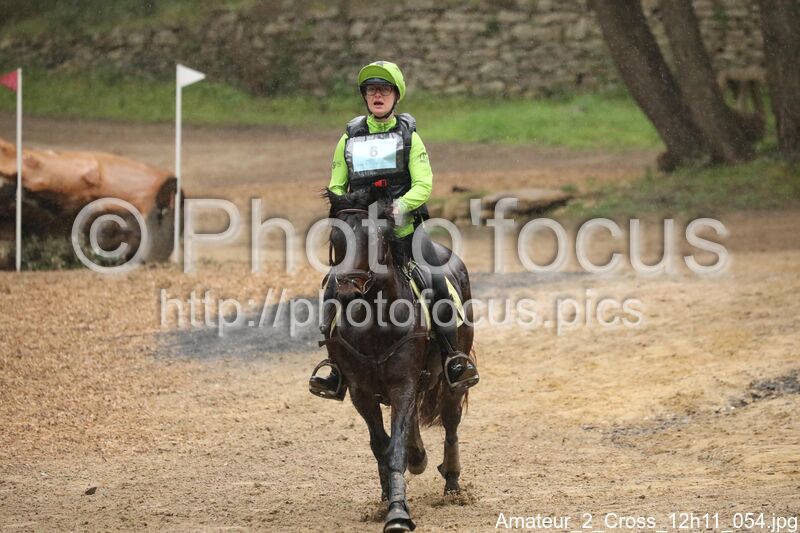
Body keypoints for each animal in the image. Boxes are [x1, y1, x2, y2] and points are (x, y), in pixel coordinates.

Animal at [318, 185, 474, 532]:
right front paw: (386, 501)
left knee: (451, 422)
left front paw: (398, 512)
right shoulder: (361, 392)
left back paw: (453, 487)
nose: (347, 289)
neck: (374, 319)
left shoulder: (402, 384)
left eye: (375, 235)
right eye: (336, 235)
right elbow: (382, 446)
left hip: (452, 380)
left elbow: (396, 446)